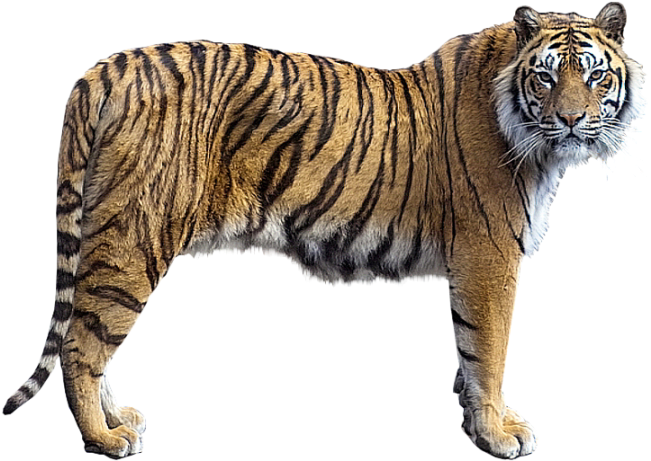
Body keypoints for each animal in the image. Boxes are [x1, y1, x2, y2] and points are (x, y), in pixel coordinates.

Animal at [2, 1, 647, 458]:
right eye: (545, 78)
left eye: (595, 77)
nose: (572, 120)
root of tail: (102, 70)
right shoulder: (489, 257)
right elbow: (488, 351)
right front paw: (495, 434)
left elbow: (467, 357)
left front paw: (476, 421)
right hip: (135, 237)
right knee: (83, 345)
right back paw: (105, 439)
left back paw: (119, 419)